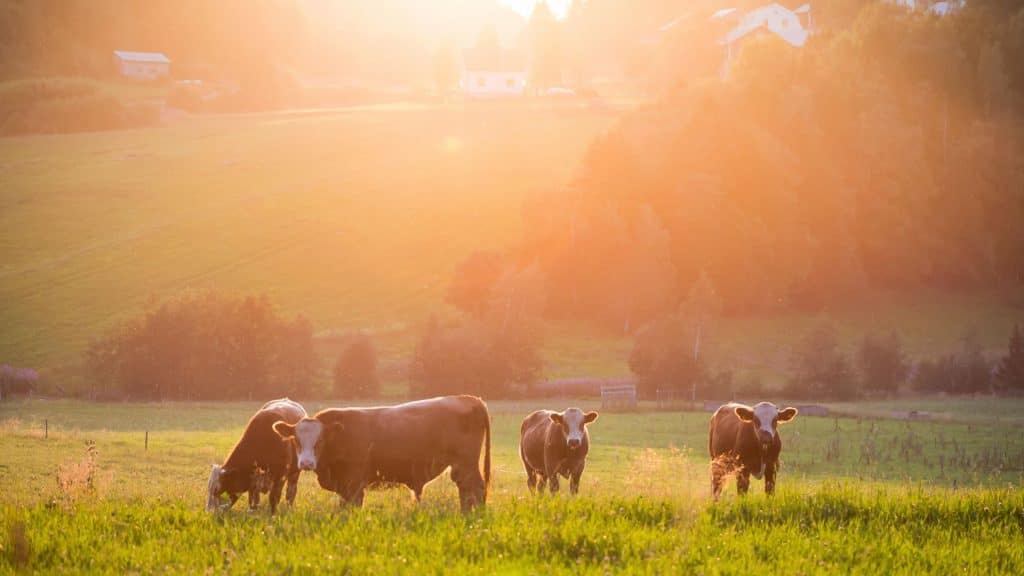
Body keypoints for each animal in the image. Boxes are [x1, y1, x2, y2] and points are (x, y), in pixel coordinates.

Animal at [272, 395, 491, 512]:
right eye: (296, 440)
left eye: (320, 441)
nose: (306, 463)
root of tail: (469, 399)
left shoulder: (354, 482)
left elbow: (353, 505)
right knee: (466, 489)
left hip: (466, 463)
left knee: (475, 488)